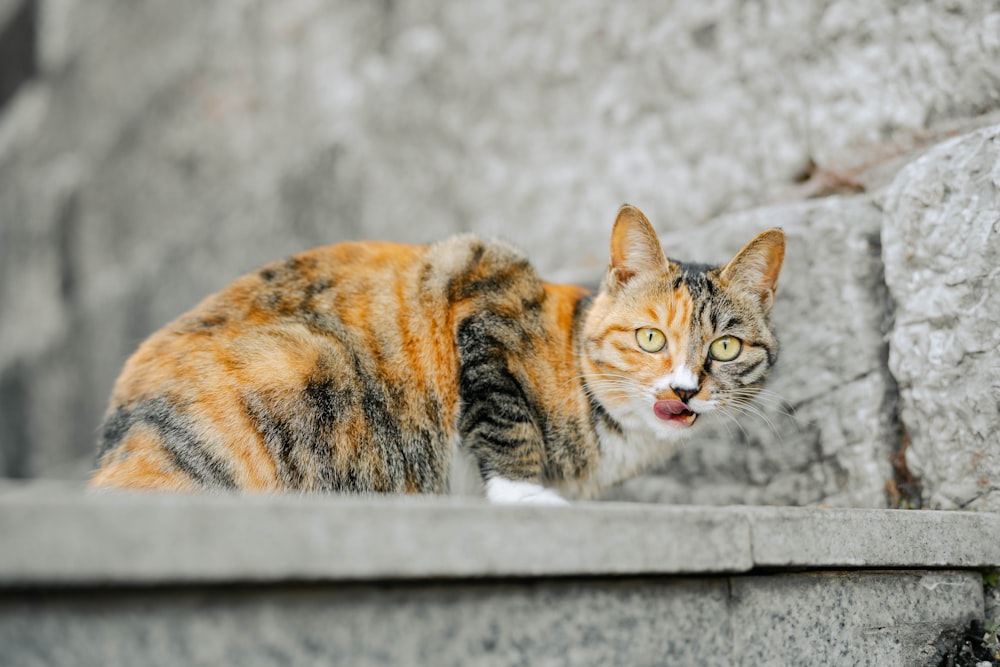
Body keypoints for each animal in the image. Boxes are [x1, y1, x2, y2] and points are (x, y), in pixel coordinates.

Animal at [90, 206, 784, 504]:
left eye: (726, 347)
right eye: (650, 338)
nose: (685, 388)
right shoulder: (480, 284)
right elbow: (507, 421)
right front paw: (528, 500)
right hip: (304, 362)